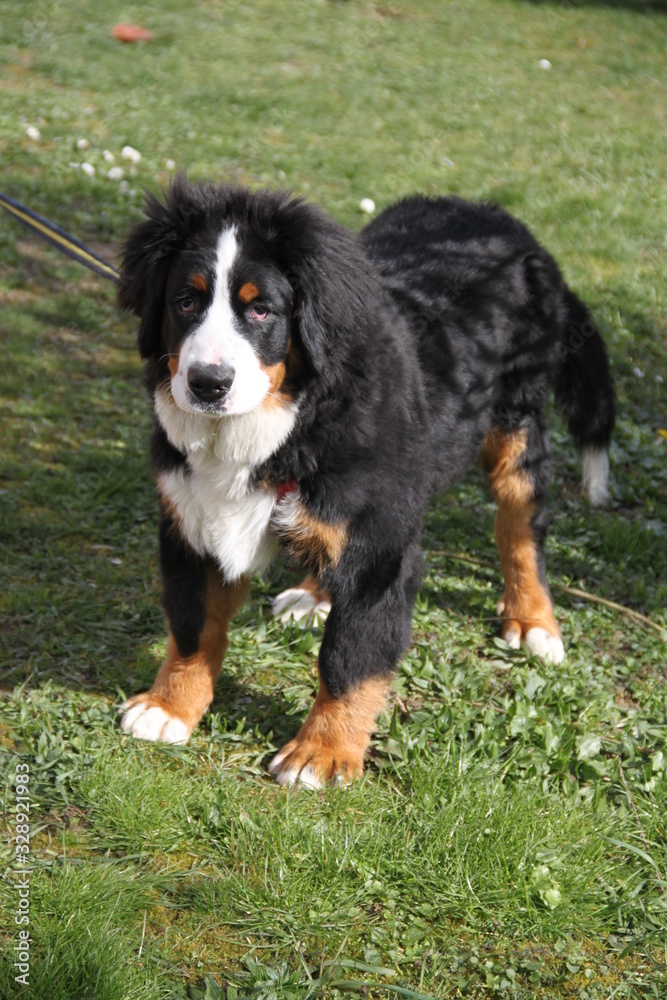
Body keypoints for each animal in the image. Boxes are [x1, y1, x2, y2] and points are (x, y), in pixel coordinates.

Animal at [118, 180, 616, 788]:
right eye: (185, 302)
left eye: (261, 309)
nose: (208, 382)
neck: (288, 424)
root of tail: (504, 223)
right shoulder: (190, 523)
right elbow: (194, 624)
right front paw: (169, 706)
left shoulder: (381, 547)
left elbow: (350, 657)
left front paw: (322, 752)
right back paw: (314, 594)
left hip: (515, 428)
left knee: (520, 528)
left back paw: (533, 619)